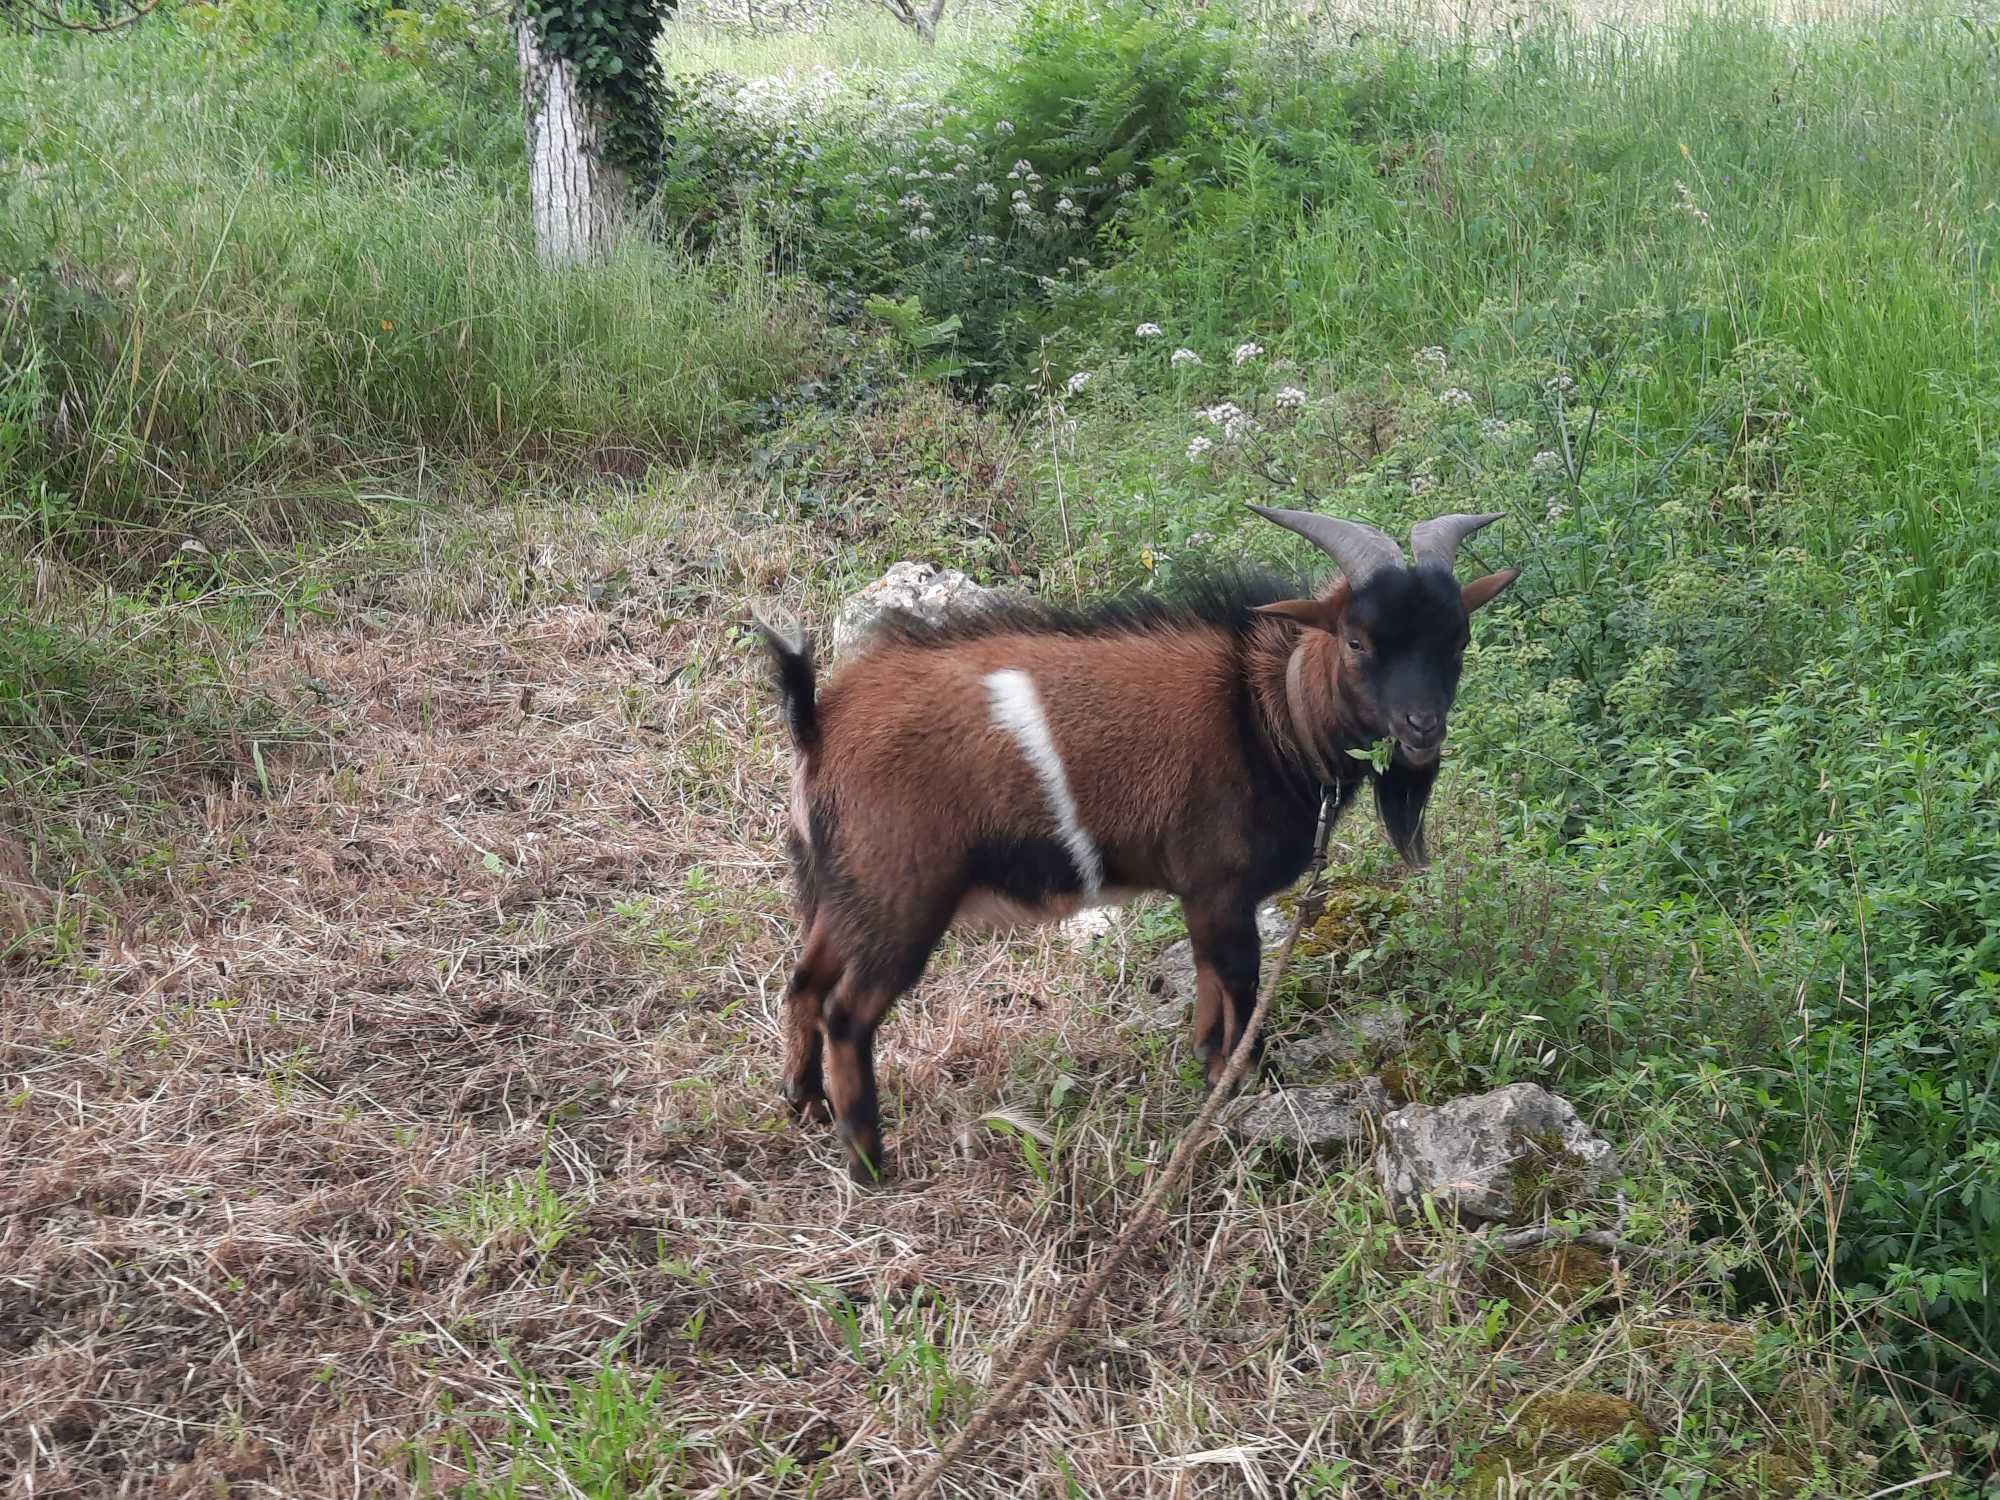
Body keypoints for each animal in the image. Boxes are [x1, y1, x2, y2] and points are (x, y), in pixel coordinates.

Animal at [756, 508, 1504, 1184]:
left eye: (1459, 638)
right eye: (1356, 639)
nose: (1421, 726)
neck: (1264, 713)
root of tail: (820, 722)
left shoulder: (1202, 896)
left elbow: (1206, 984)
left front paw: (1207, 1068)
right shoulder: (1222, 888)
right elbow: (1239, 984)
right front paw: (1242, 1082)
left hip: (846, 893)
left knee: (804, 982)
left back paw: (806, 1104)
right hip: (901, 899)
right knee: (846, 1014)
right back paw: (867, 1162)